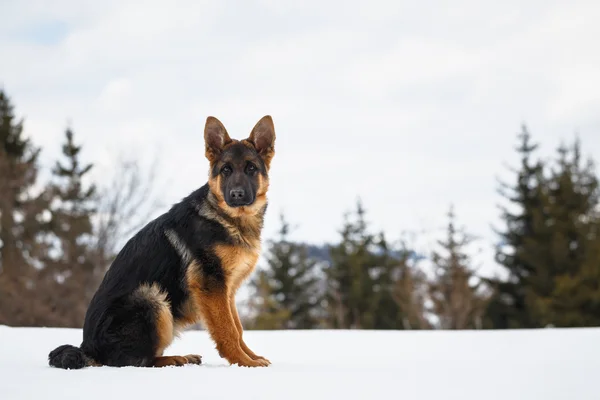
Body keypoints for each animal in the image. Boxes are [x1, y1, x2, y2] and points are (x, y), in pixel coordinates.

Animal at [47, 115, 276, 368]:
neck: (227, 218)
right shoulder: (211, 285)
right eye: (226, 170)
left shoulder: (227, 291)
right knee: (133, 360)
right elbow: (228, 330)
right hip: (152, 299)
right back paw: (175, 359)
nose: (236, 195)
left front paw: (251, 357)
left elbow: (238, 328)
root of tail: (87, 348)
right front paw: (244, 362)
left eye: (251, 168)